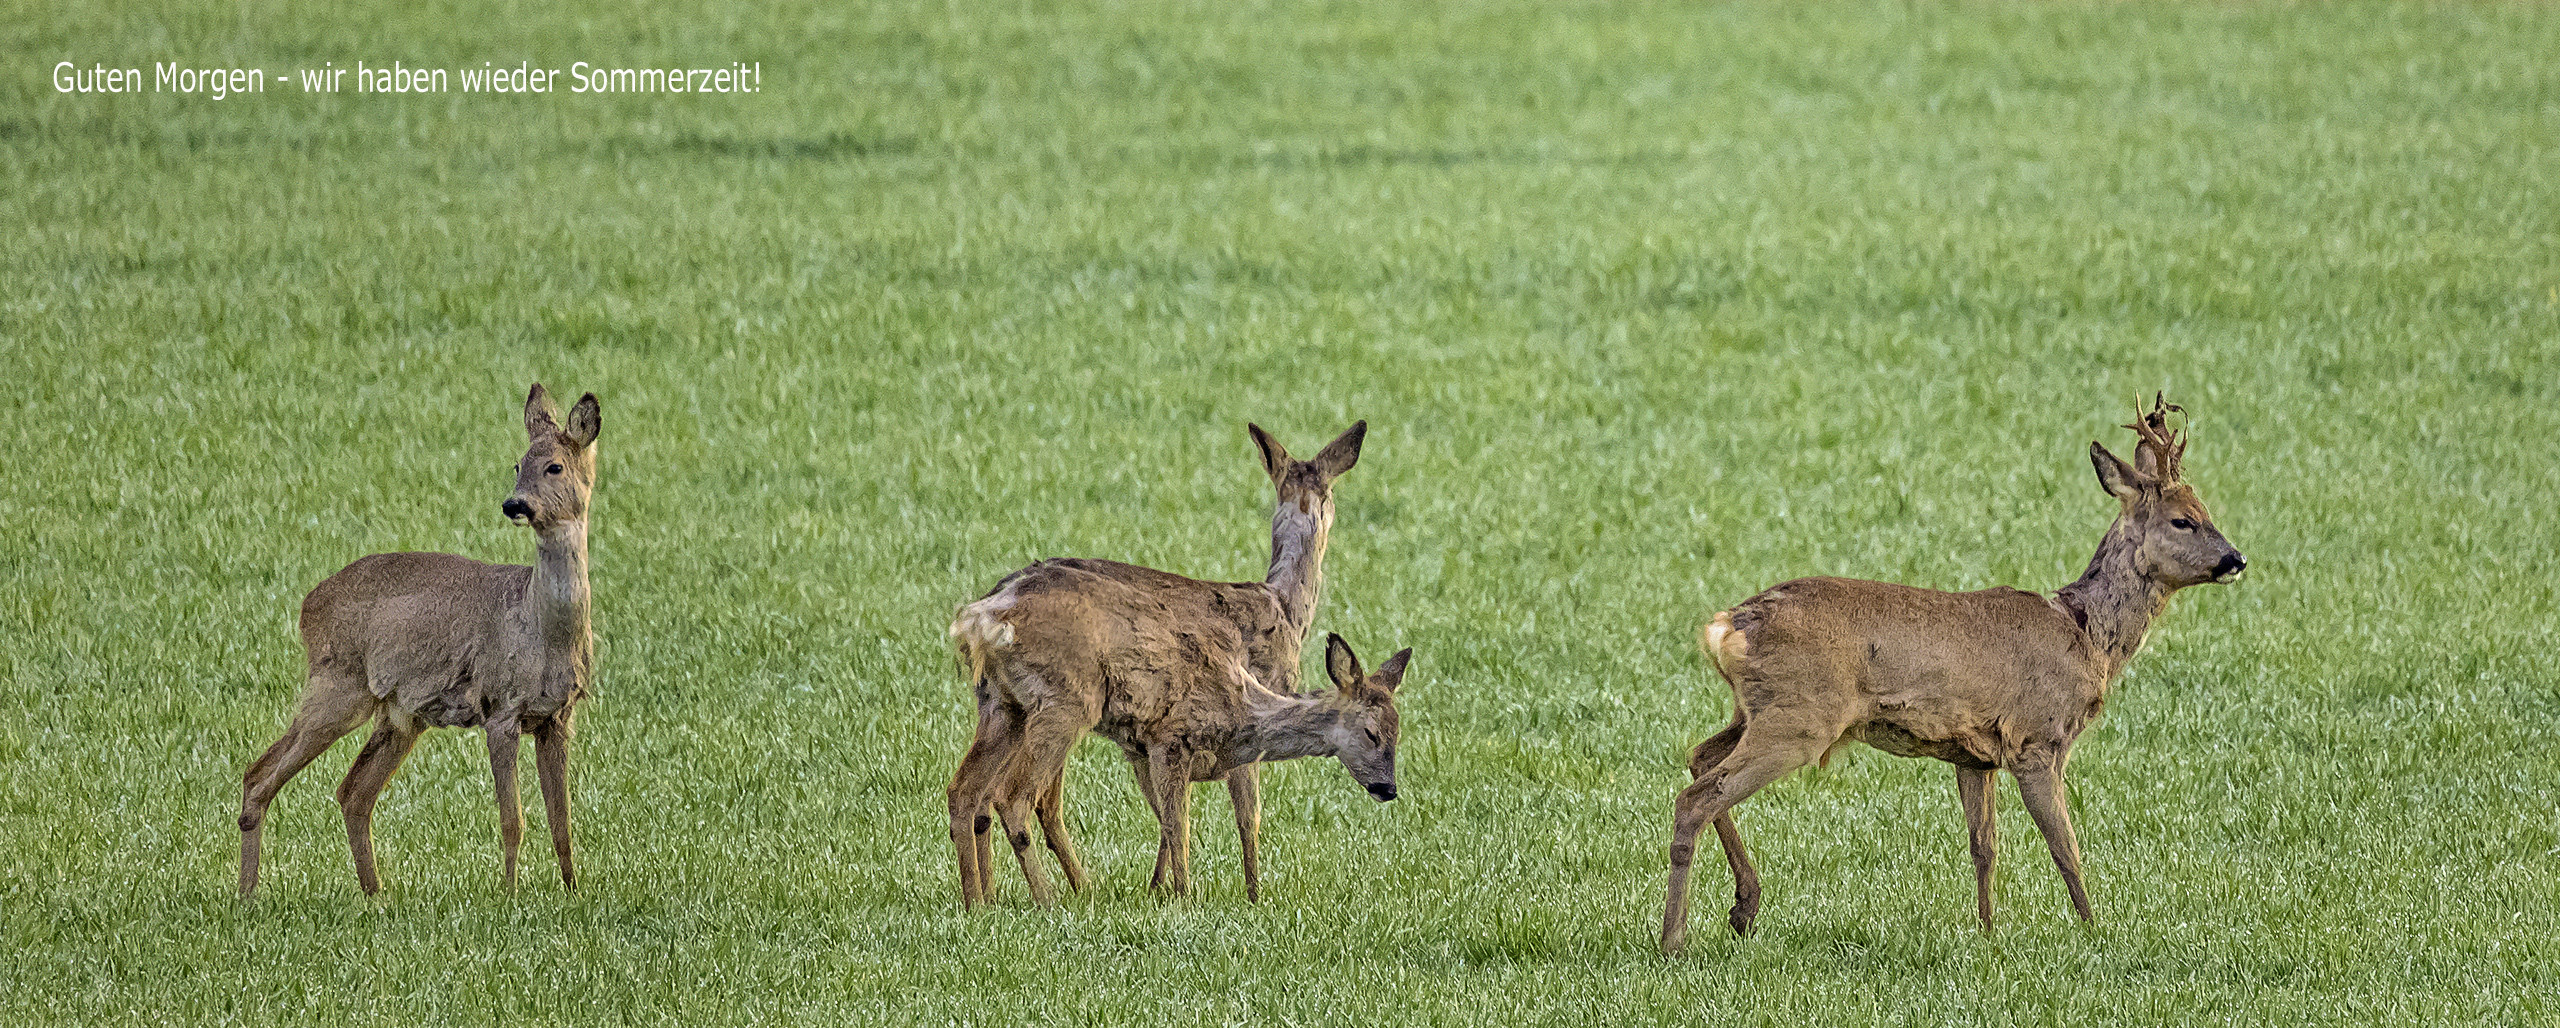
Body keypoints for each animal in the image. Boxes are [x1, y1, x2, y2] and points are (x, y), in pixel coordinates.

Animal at [235, 386, 604, 900]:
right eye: (517, 463)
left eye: (554, 466)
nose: (514, 504)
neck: (539, 628)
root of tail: (309, 605)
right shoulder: (500, 708)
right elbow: (513, 820)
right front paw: (509, 895)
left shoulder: (557, 716)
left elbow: (562, 821)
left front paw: (574, 891)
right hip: (340, 684)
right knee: (260, 775)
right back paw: (249, 895)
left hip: (400, 715)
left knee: (352, 792)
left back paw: (376, 895)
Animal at [952, 421, 1413, 905]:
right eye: (1371, 733)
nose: (1388, 788)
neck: (1284, 606)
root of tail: (982, 615)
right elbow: (1240, 816)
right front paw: (1247, 894)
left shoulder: (1147, 746)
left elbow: (1168, 822)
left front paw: (1160, 889)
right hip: (1066, 704)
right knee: (1024, 798)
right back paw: (1058, 896)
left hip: (1001, 703)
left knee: (972, 793)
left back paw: (986, 900)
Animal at [1658, 396, 2242, 951]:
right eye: (2183, 519)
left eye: (2208, 511)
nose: (2235, 559)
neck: (2085, 635)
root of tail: (1726, 626)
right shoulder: (2038, 738)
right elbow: (2066, 846)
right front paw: (2094, 928)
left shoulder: (1974, 753)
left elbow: (1984, 846)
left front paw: (1987, 931)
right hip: (1799, 717)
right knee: (1697, 798)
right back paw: (1674, 941)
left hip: (1755, 710)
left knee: (1699, 756)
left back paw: (1743, 907)